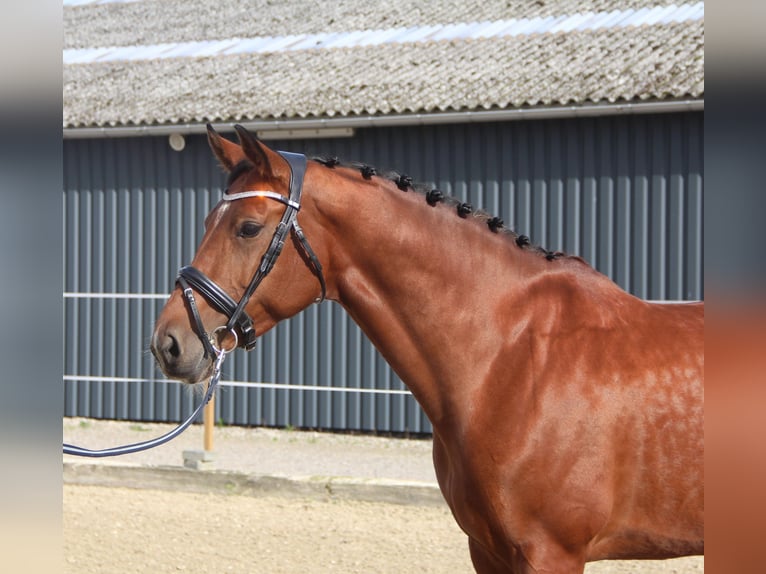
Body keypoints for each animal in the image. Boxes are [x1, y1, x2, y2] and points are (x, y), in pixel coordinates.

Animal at [153, 127, 704, 574]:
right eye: (208, 220)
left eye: (247, 227)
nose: (168, 343)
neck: (512, 356)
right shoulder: (488, 550)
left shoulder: (552, 553)